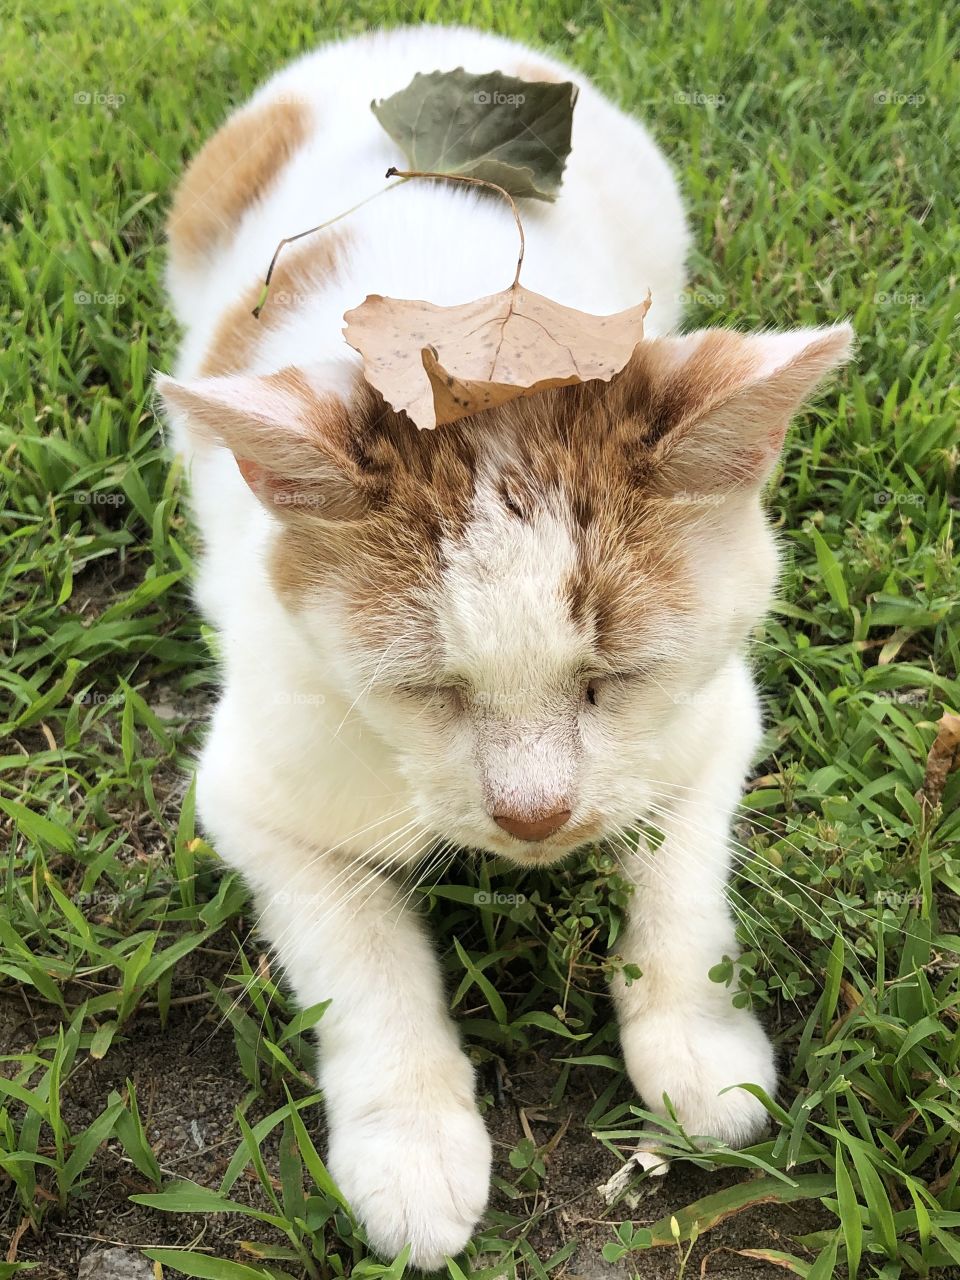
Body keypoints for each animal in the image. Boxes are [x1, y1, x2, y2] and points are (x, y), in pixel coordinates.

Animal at [160, 22, 855, 1269]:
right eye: (429, 689)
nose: (534, 816)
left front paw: (698, 1044)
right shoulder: (257, 791)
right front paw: (412, 1146)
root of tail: (417, 34)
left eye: (614, 679)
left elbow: (681, 877)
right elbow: (359, 953)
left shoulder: (714, 722)